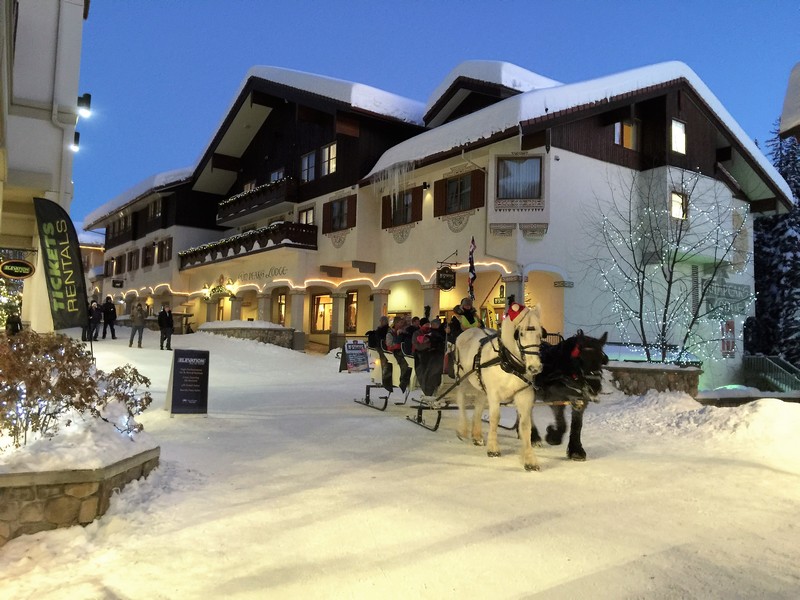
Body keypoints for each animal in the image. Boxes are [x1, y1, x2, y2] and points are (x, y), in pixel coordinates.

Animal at [456, 302, 544, 472]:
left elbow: (525, 424)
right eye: (520, 334)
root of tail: (467, 332)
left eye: (540, 334)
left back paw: (477, 436)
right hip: (463, 378)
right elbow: (495, 417)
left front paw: (529, 459)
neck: (507, 361)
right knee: (461, 400)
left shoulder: (523, 394)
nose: (534, 368)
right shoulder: (494, 394)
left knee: (478, 406)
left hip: (481, 385)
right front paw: (493, 448)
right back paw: (463, 429)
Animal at [532, 330, 608, 462]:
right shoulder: (554, 398)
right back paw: (534, 437)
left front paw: (575, 450)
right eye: (581, 359)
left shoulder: (578, 400)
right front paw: (552, 435)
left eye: (601, 359)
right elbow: (563, 424)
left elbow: (573, 425)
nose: (595, 387)